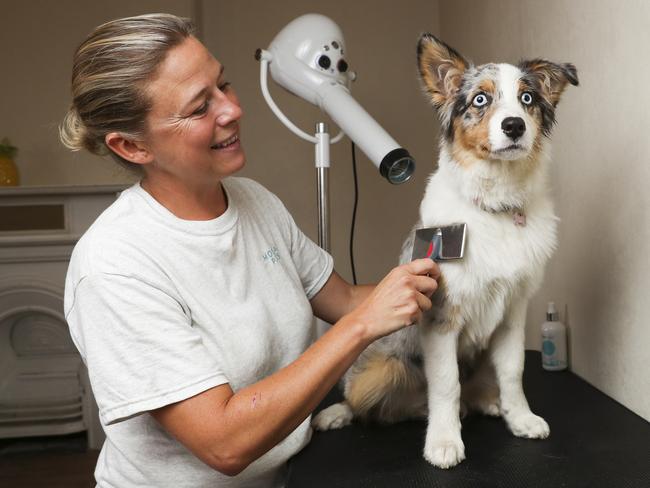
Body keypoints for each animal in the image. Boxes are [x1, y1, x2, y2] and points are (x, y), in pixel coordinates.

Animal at [312, 34, 576, 468]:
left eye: (527, 98)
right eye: (480, 99)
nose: (514, 126)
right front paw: (444, 442)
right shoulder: (439, 315)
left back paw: (486, 402)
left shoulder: (513, 313)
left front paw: (520, 418)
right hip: (379, 369)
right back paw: (338, 414)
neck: (496, 207)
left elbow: (513, 371)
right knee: (368, 404)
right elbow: (446, 384)